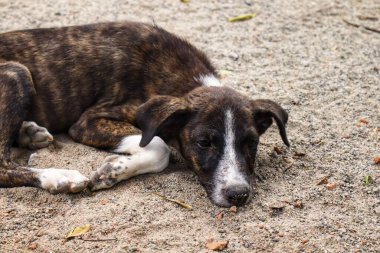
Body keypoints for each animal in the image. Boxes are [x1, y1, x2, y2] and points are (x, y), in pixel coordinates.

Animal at [0, 21, 288, 208]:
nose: (238, 195)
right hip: (16, 72)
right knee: (3, 166)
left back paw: (29, 133)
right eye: (204, 143)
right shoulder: (88, 121)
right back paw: (57, 177)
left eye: (251, 143)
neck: (185, 81)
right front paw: (111, 171)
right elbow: (159, 146)